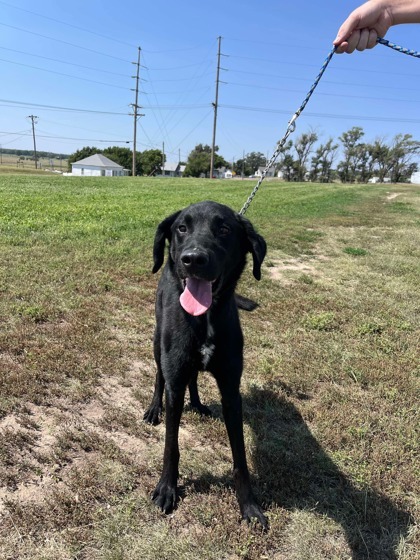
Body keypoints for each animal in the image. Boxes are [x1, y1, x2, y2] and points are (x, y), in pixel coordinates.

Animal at [143, 201, 268, 528]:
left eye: (224, 228)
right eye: (181, 228)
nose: (193, 259)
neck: (205, 317)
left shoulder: (231, 390)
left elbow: (240, 458)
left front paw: (249, 505)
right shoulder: (174, 383)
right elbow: (171, 446)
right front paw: (167, 489)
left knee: (195, 377)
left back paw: (198, 404)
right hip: (157, 343)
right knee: (159, 375)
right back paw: (153, 408)